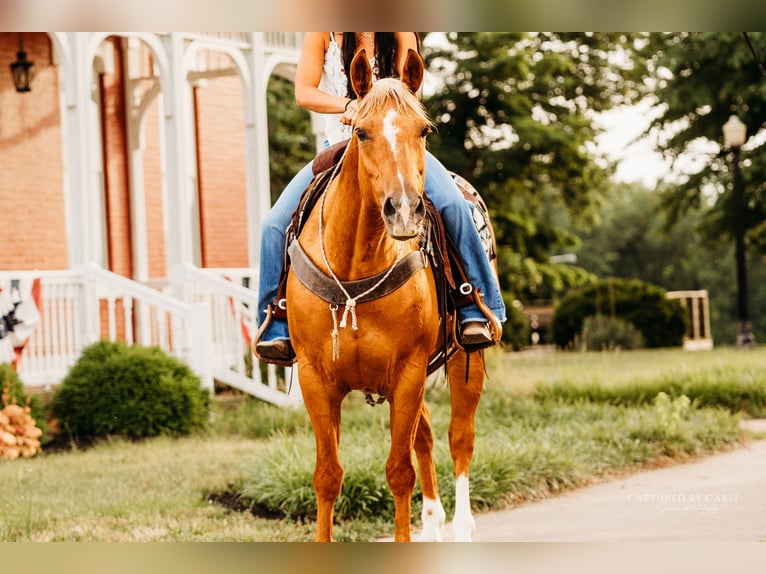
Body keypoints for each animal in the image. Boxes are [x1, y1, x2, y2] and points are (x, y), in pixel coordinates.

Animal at [284, 47, 496, 544]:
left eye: (424, 130)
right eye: (361, 131)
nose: (403, 209)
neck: (356, 263)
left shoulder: (408, 372)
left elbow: (400, 471)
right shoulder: (316, 379)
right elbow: (328, 475)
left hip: (464, 359)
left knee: (460, 437)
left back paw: (461, 527)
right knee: (428, 437)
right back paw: (434, 524)